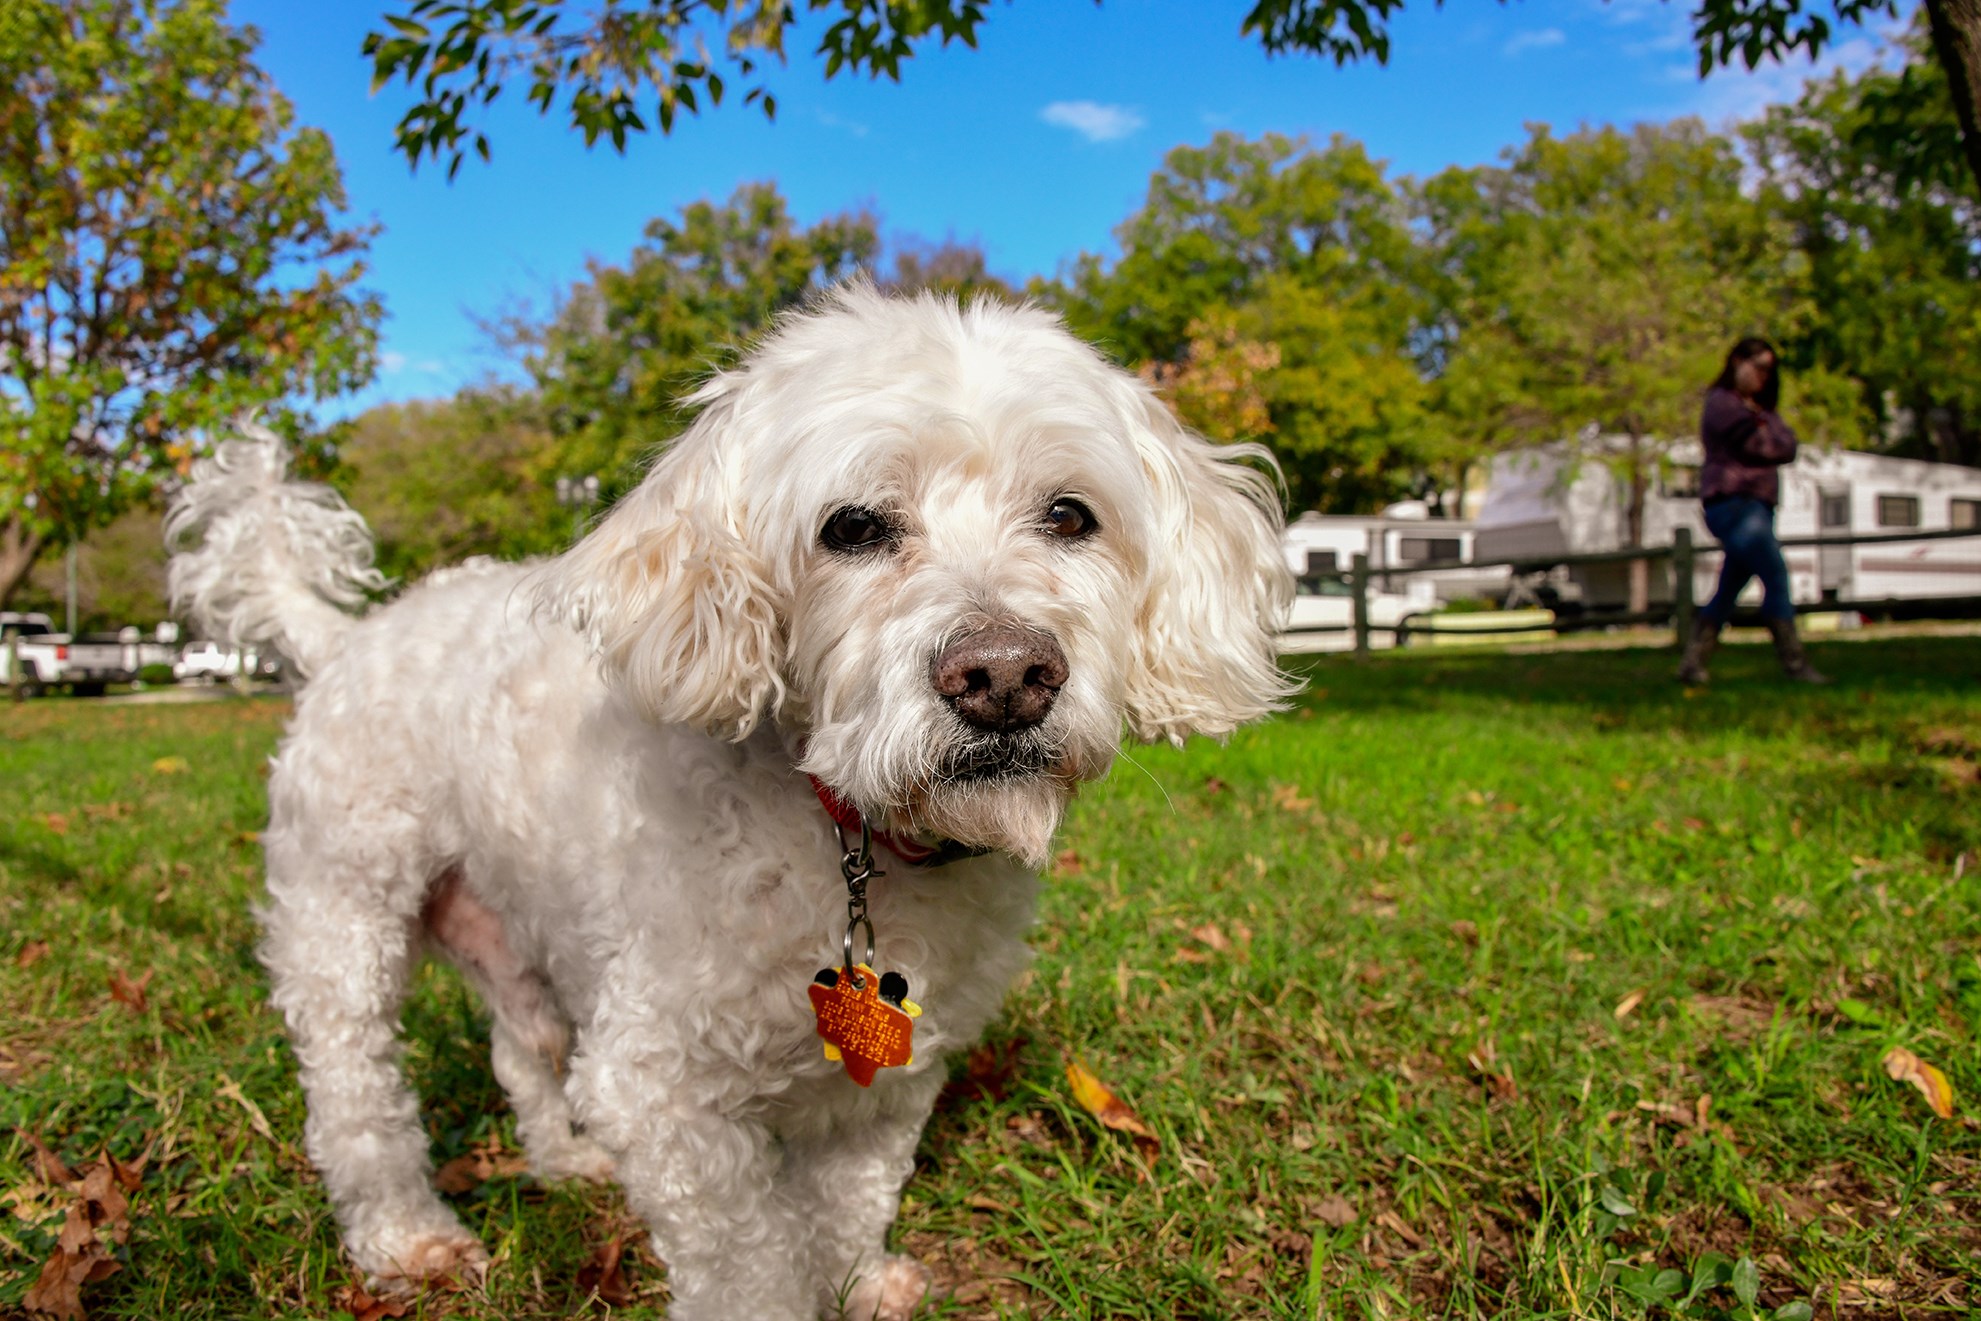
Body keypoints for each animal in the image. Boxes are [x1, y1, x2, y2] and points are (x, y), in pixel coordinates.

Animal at [170, 289, 1299, 1321]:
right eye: (852, 527)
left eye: (1069, 516)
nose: (1005, 675)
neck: (844, 831)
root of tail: (347, 636)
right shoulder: (666, 1093)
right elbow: (748, 1266)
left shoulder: (885, 1088)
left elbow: (848, 1200)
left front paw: (853, 1283)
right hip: (343, 915)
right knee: (355, 1093)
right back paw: (407, 1237)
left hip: (521, 934)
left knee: (520, 1050)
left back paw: (563, 1158)